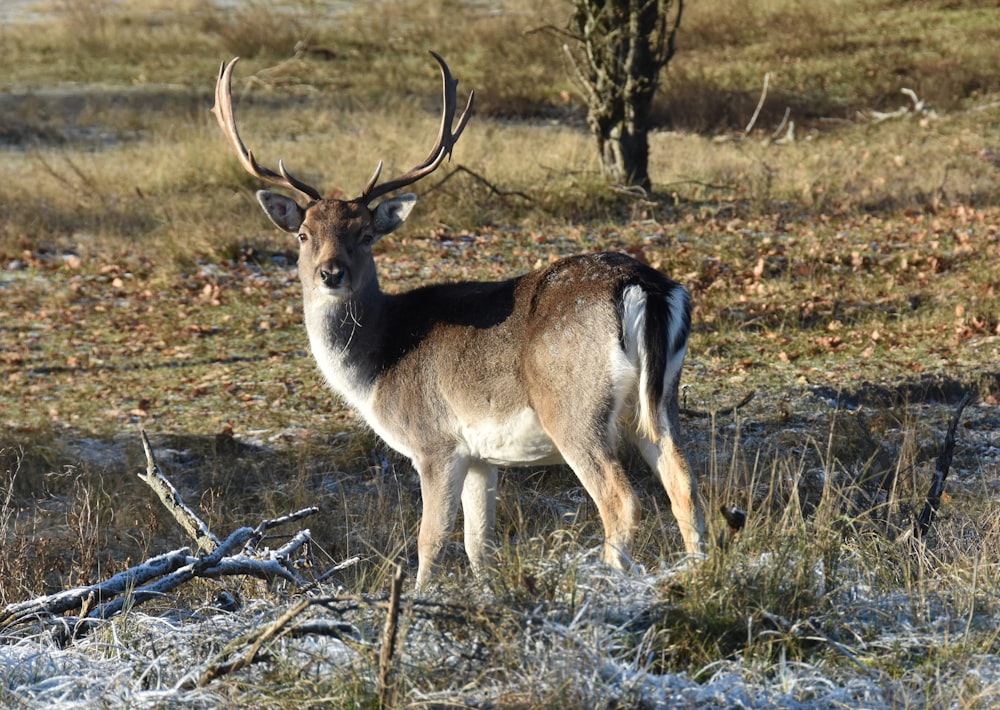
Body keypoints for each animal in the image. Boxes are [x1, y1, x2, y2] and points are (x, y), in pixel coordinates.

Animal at [214, 54, 708, 588]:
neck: (377, 366)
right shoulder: (481, 457)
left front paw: (419, 595)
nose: (331, 273)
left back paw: (611, 578)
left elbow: (431, 540)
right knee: (685, 485)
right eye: (304, 234)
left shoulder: (435, 442)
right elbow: (478, 544)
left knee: (622, 499)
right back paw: (699, 572)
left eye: (365, 234)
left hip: (574, 405)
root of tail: (646, 286)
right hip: (660, 399)